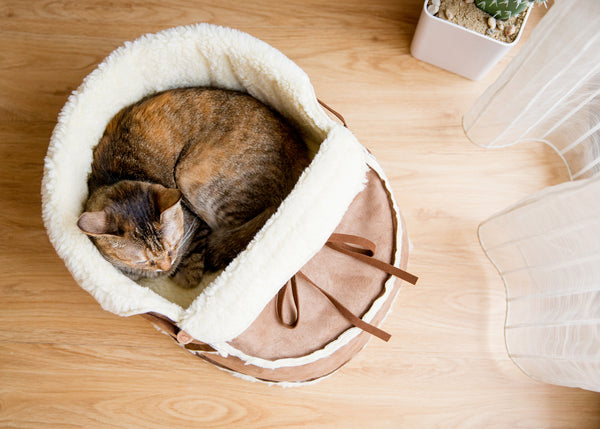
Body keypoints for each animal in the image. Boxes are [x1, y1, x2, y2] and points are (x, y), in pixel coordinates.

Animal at [78, 87, 312, 288]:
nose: (166, 266)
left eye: (172, 247)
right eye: (143, 261)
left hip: (192, 176)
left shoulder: (194, 227)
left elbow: (190, 272)